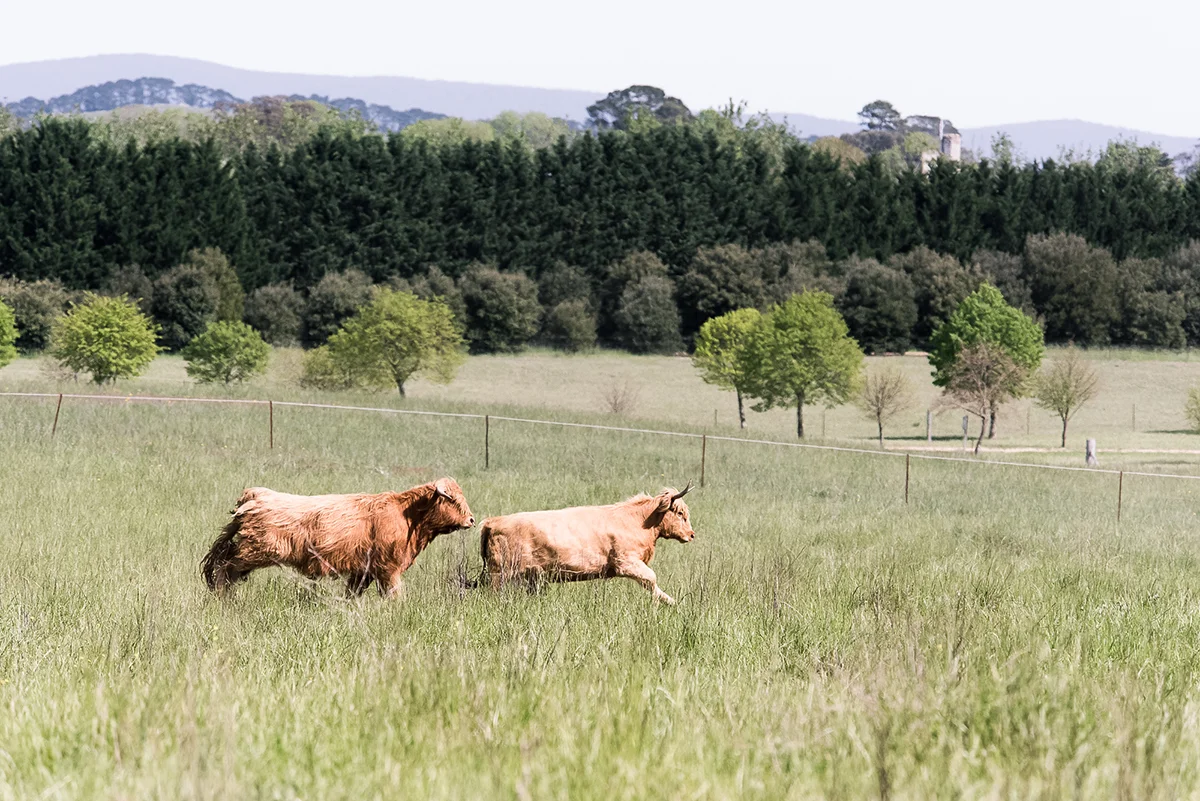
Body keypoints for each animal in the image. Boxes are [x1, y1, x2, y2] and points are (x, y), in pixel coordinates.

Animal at [200, 478, 474, 597]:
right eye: (453, 500)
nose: (472, 520)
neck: (406, 516)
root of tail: (255, 494)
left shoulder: (364, 571)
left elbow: (352, 594)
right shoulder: (388, 569)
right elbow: (394, 595)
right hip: (253, 552)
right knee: (224, 568)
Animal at [478, 483, 696, 605]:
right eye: (680, 513)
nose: (692, 535)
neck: (637, 520)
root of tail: (493, 522)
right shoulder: (627, 562)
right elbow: (651, 579)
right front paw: (671, 602)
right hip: (501, 575)